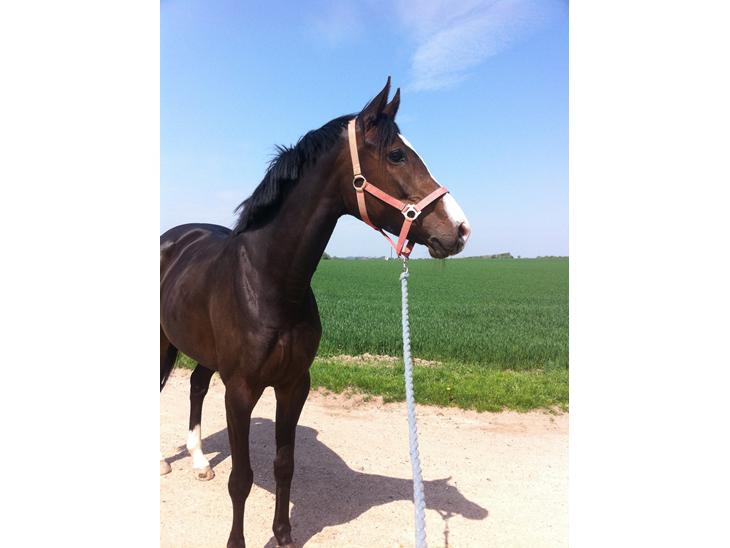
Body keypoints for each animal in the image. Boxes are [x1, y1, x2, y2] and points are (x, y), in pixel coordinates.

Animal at [160, 78, 471, 548]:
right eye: (397, 154)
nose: (459, 229)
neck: (270, 282)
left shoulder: (294, 385)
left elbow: (283, 466)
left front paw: (284, 536)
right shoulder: (241, 390)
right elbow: (242, 478)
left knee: (196, 386)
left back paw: (199, 462)